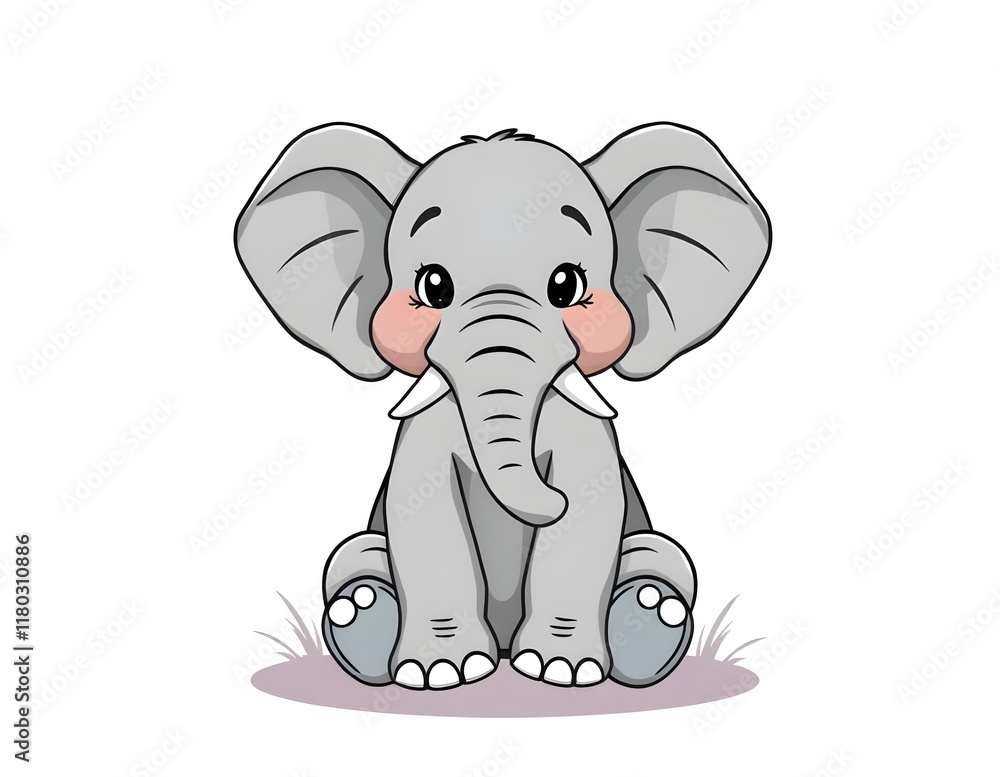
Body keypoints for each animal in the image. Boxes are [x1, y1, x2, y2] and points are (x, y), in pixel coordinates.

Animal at [234, 122, 771, 690]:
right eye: (433, 286)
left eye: (567, 284)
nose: (550, 498)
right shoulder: (426, 431)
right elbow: (424, 511)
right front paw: (441, 673)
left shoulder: (584, 432)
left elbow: (591, 512)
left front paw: (562, 671)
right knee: (353, 557)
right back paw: (361, 612)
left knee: (662, 557)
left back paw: (649, 614)